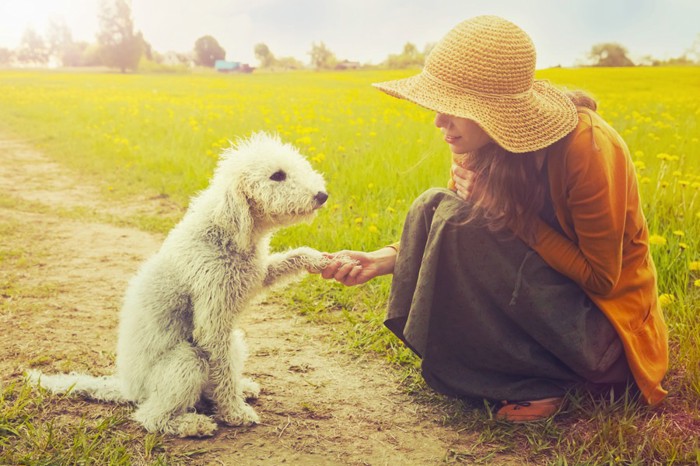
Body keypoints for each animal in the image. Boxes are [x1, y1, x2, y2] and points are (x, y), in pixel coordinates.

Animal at [27, 131, 334, 436]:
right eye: (277, 175)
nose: (323, 195)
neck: (223, 232)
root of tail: (128, 388)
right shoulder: (212, 322)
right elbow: (223, 373)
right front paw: (234, 413)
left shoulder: (252, 277)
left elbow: (285, 262)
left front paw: (318, 259)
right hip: (188, 358)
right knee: (151, 417)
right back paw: (194, 423)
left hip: (232, 341)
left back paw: (239, 389)